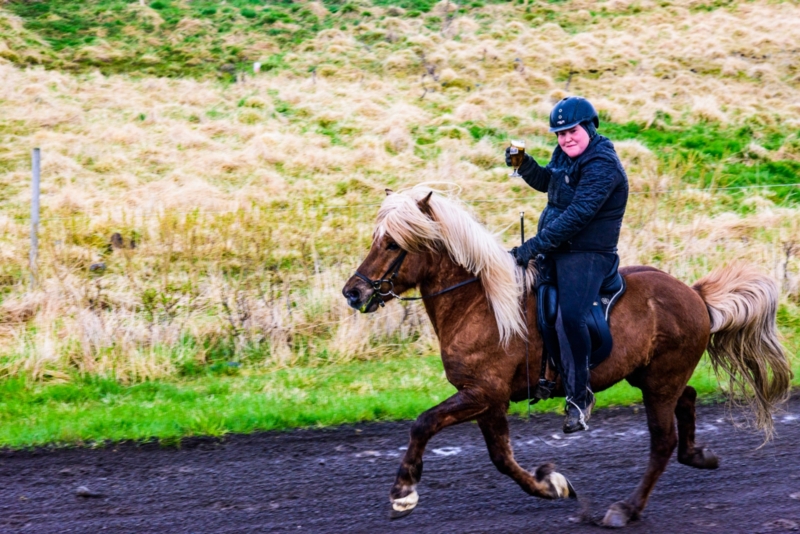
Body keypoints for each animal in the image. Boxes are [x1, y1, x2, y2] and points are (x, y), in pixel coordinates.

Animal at [341, 187, 792, 528]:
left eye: (392, 244)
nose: (353, 293)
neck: (480, 303)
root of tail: (696, 296)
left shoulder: (482, 394)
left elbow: (423, 424)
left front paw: (403, 493)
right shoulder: (488, 400)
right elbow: (502, 458)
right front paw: (551, 484)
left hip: (660, 382)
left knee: (663, 441)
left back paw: (626, 508)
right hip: (651, 376)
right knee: (690, 399)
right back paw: (699, 455)